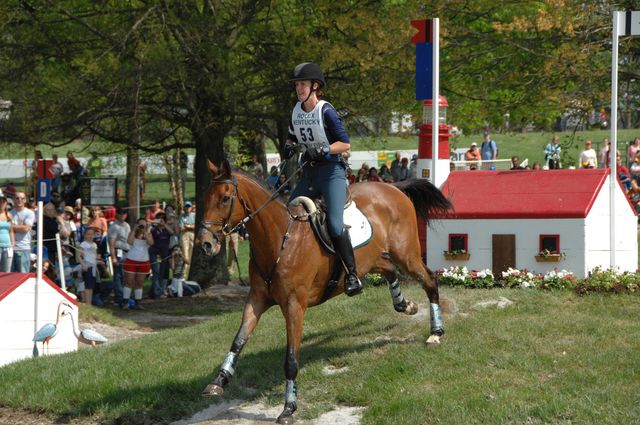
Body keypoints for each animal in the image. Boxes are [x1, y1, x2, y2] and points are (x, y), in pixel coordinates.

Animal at [199, 160, 450, 424]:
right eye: (205, 197)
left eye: (225, 198)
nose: (205, 243)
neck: (280, 239)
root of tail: (393, 188)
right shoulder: (256, 299)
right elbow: (238, 340)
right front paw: (218, 381)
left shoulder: (294, 306)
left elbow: (291, 359)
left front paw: (289, 408)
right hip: (372, 260)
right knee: (390, 270)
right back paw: (406, 305)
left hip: (407, 254)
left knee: (429, 281)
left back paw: (436, 333)